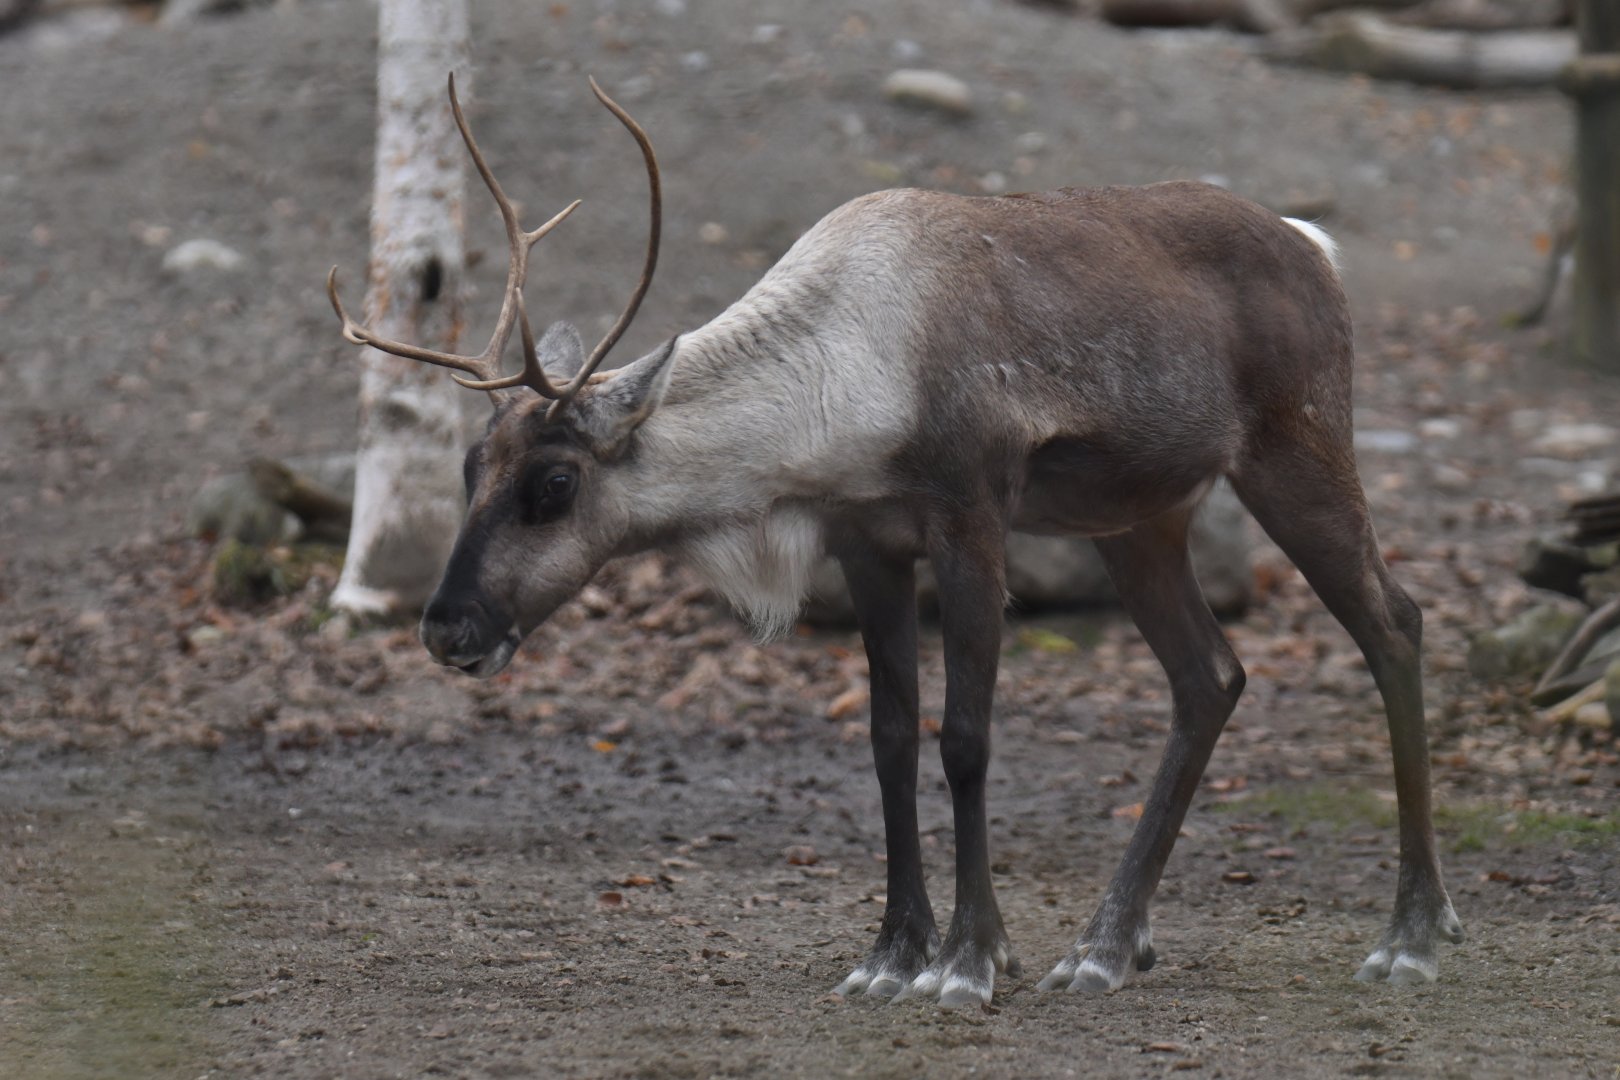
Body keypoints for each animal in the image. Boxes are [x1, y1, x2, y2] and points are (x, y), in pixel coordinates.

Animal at [327, 75, 1463, 1008]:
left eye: (555, 484)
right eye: (469, 464)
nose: (447, 627)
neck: (843, 379)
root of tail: (1315, 244)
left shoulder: (970, 518)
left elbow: (963, 738)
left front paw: (967, 962)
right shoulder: (866, 544)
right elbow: (886, 739)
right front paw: (891, 955)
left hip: (1295, 449)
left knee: (1394, 622)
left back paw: (1413, 934)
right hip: (1140, 516)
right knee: (1210, 675)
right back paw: (1107, 945)